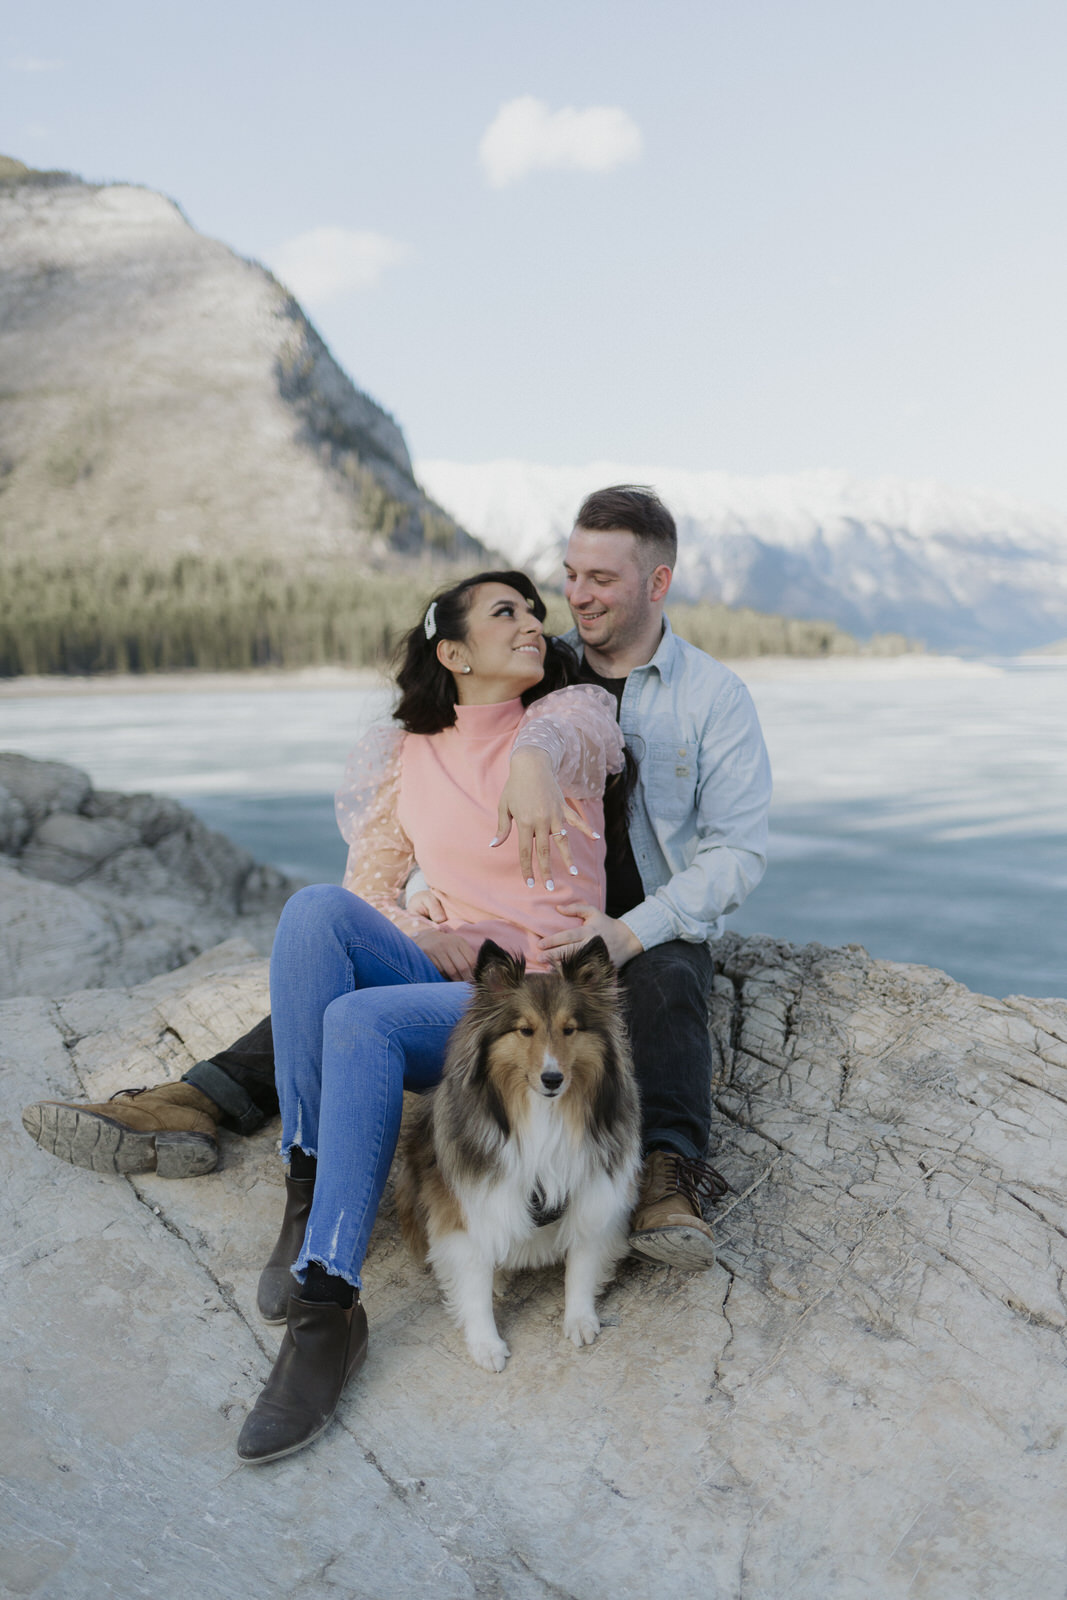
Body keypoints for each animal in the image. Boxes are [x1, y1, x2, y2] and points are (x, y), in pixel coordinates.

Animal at [395, 934, 639, 1376]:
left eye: (570, 1029)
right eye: (525, 1030)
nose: (552, 1079)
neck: (544, 1112)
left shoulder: (593, 1189)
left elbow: (583, 1262)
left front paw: (579, 1318)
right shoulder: (469, 1206)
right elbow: (474, 1280)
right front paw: (486, 1344)